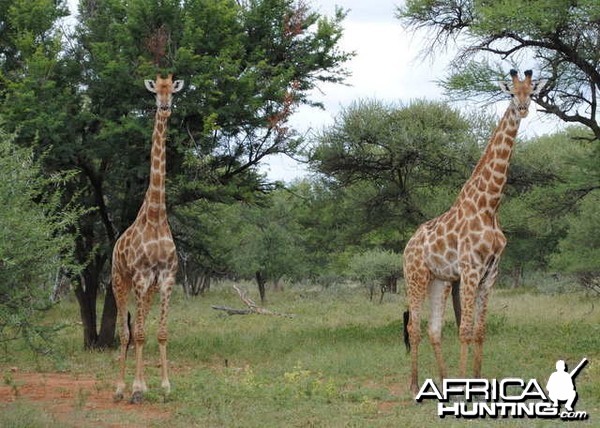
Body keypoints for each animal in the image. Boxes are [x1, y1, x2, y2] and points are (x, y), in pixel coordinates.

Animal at [400, 68, 548, 392]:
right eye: (511, 92)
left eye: (531, 92)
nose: (522, 108)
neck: (490, 206)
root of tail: (408, 244)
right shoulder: (470, 269)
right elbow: (465, 329)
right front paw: (466, 387)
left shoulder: (490, 272)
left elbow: (480, 330)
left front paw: (478, 385)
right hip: (415, 277)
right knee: (413, 326)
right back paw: (414, 385)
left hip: (440, 281)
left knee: (434, 329)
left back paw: (443, 382)